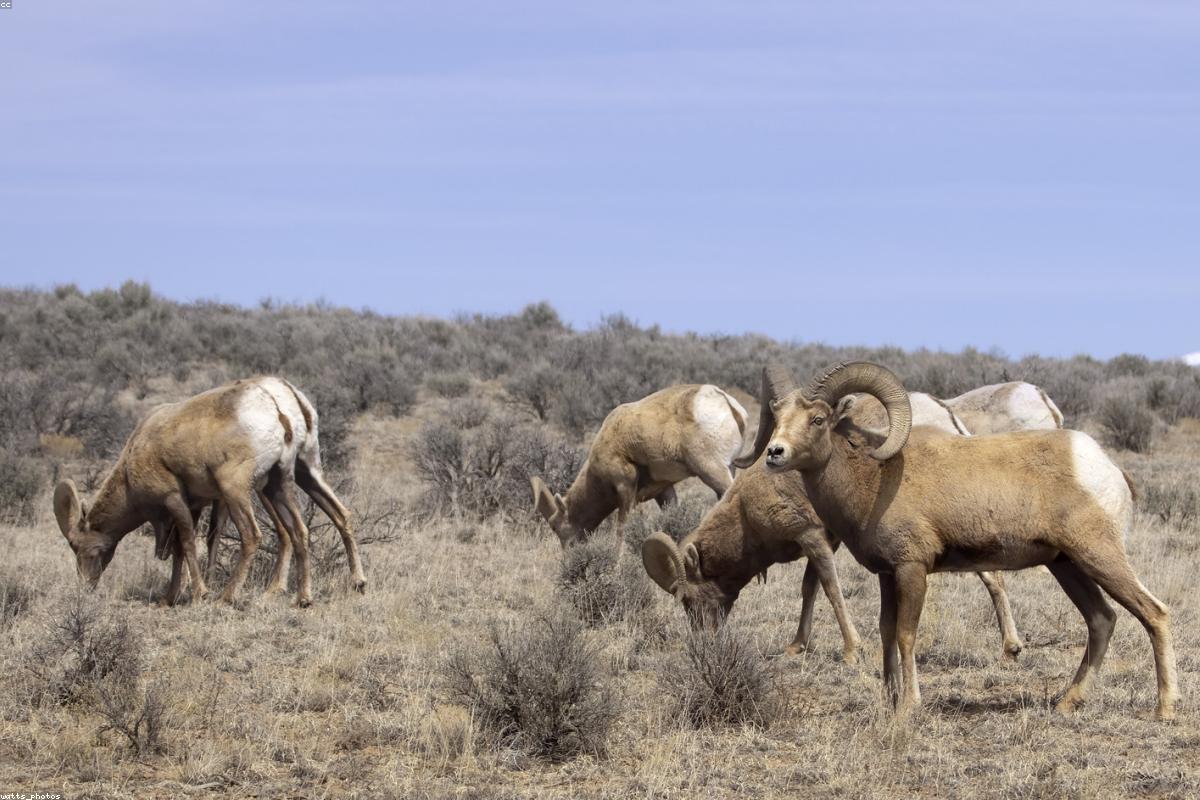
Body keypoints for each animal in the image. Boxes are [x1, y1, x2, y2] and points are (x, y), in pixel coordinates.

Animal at [53, 376, 366, 607]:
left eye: (79, 546)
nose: (86, 585)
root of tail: (280, 402)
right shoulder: (200, 505)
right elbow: (191, 546)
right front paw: (170, 598)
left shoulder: (175, 501)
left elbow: (188, 543)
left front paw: (200, 594)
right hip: (294, 477)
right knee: (323, 521)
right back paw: (322, 593)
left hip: (239, 489)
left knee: (254, 535)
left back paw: (227, 597)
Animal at [531, 384, 747, 547]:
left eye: (554, 525)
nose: (569, 554)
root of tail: (726, 402)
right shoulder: (664, 491)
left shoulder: (625, 489)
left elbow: (622, 528)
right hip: (728, 470)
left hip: (713, 472)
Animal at [642, 399, 1022, 665]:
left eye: (687, 598)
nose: (703, 642)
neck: (746, 511)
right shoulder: (824, 541)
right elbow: (809, 588)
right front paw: (797, 645)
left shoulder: (811, 536)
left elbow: (830, 588)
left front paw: (853, 651)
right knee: (994, 578)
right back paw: (1011, 649)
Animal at [732, 361, 1177, 720]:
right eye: (778, 415)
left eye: (819, 419)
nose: (775, 452)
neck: (874, 478)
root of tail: (1107, 469)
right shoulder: (887, 575)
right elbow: (886, 632)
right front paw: (889, 701)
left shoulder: (913, 570)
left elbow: (906, 635)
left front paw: (909, 706)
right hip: (1067, 566)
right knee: (1102, 620)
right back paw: (1067, 703)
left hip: (1099, 557)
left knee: (1154, 613)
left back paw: (1164, 709)